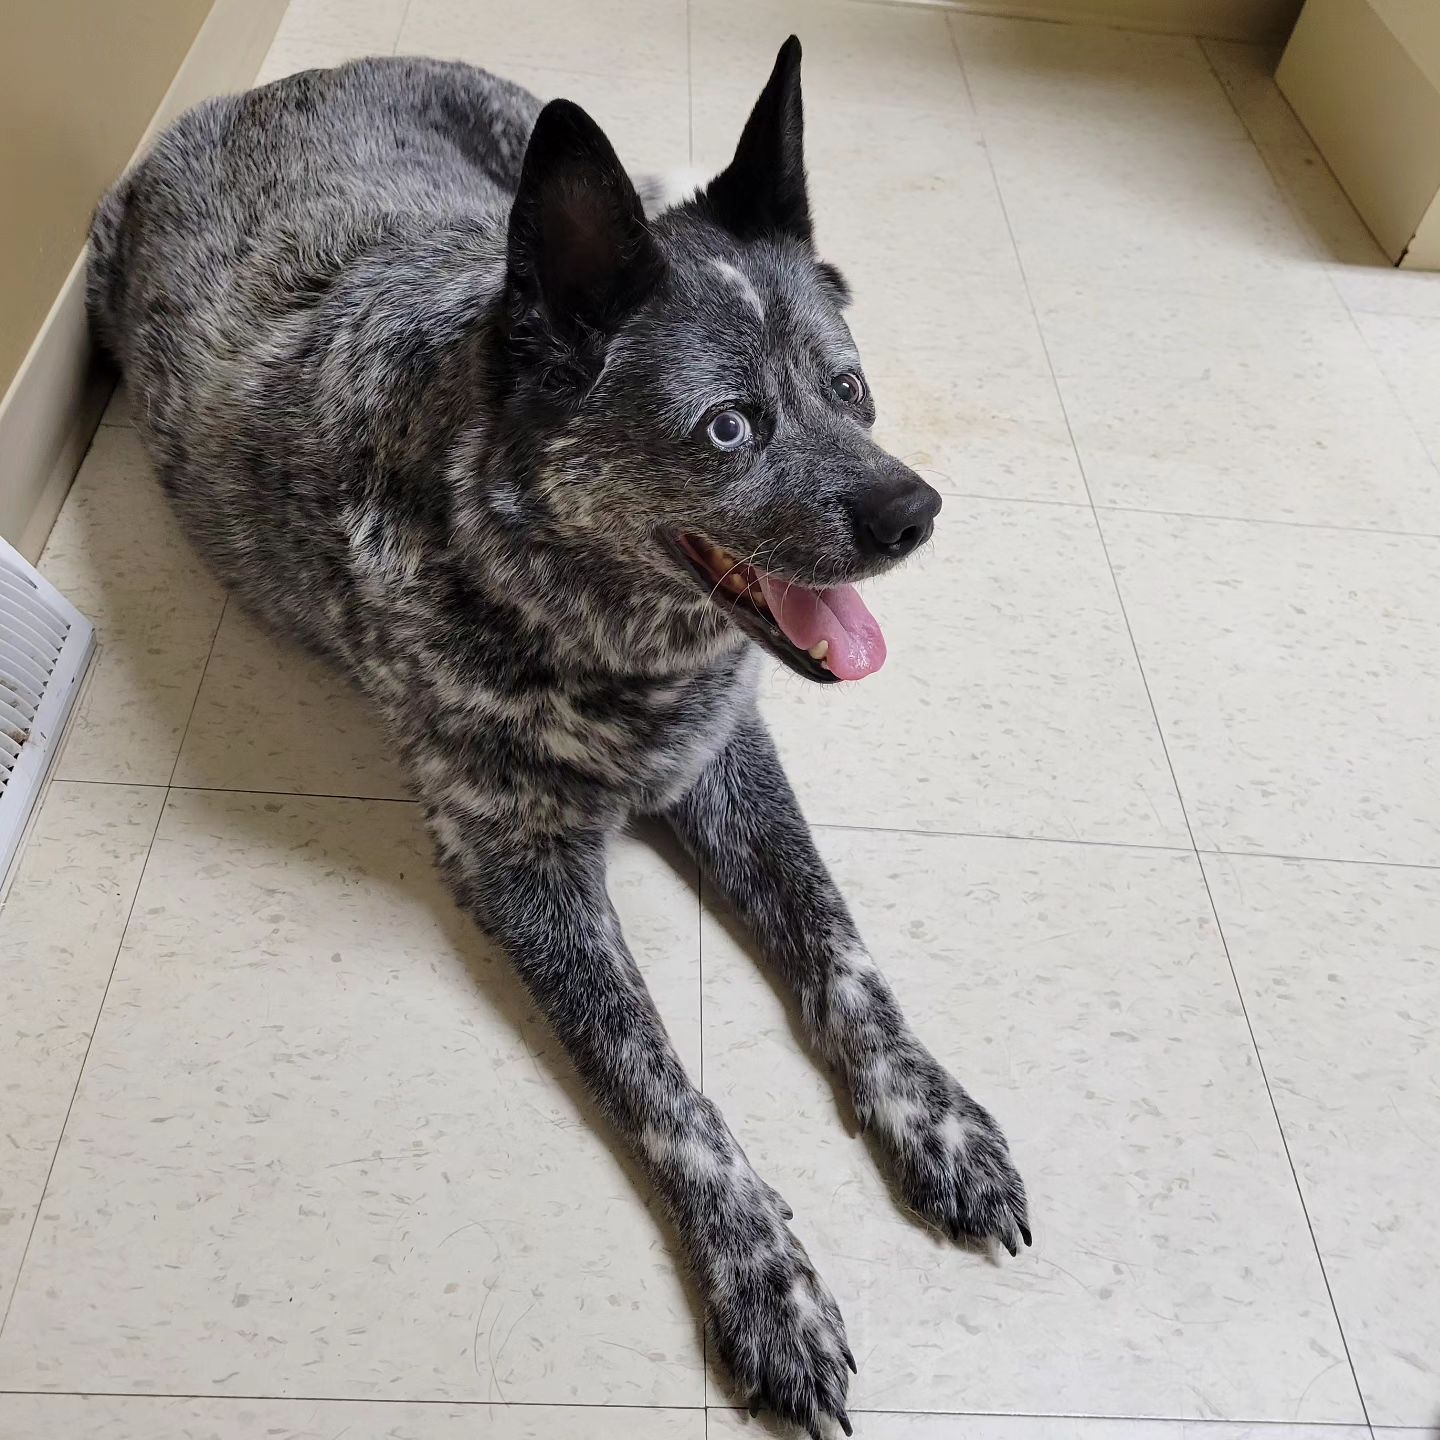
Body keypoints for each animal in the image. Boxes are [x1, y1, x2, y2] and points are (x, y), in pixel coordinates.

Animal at [90, 39, 1031, 1434]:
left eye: (850, 389)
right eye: (728, 425)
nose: (915, 512)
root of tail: (289, 79)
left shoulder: (728, 760)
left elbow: (841, 949)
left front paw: (938, 1121)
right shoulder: (517, 862)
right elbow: (662, 1082)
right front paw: (766, 1281)